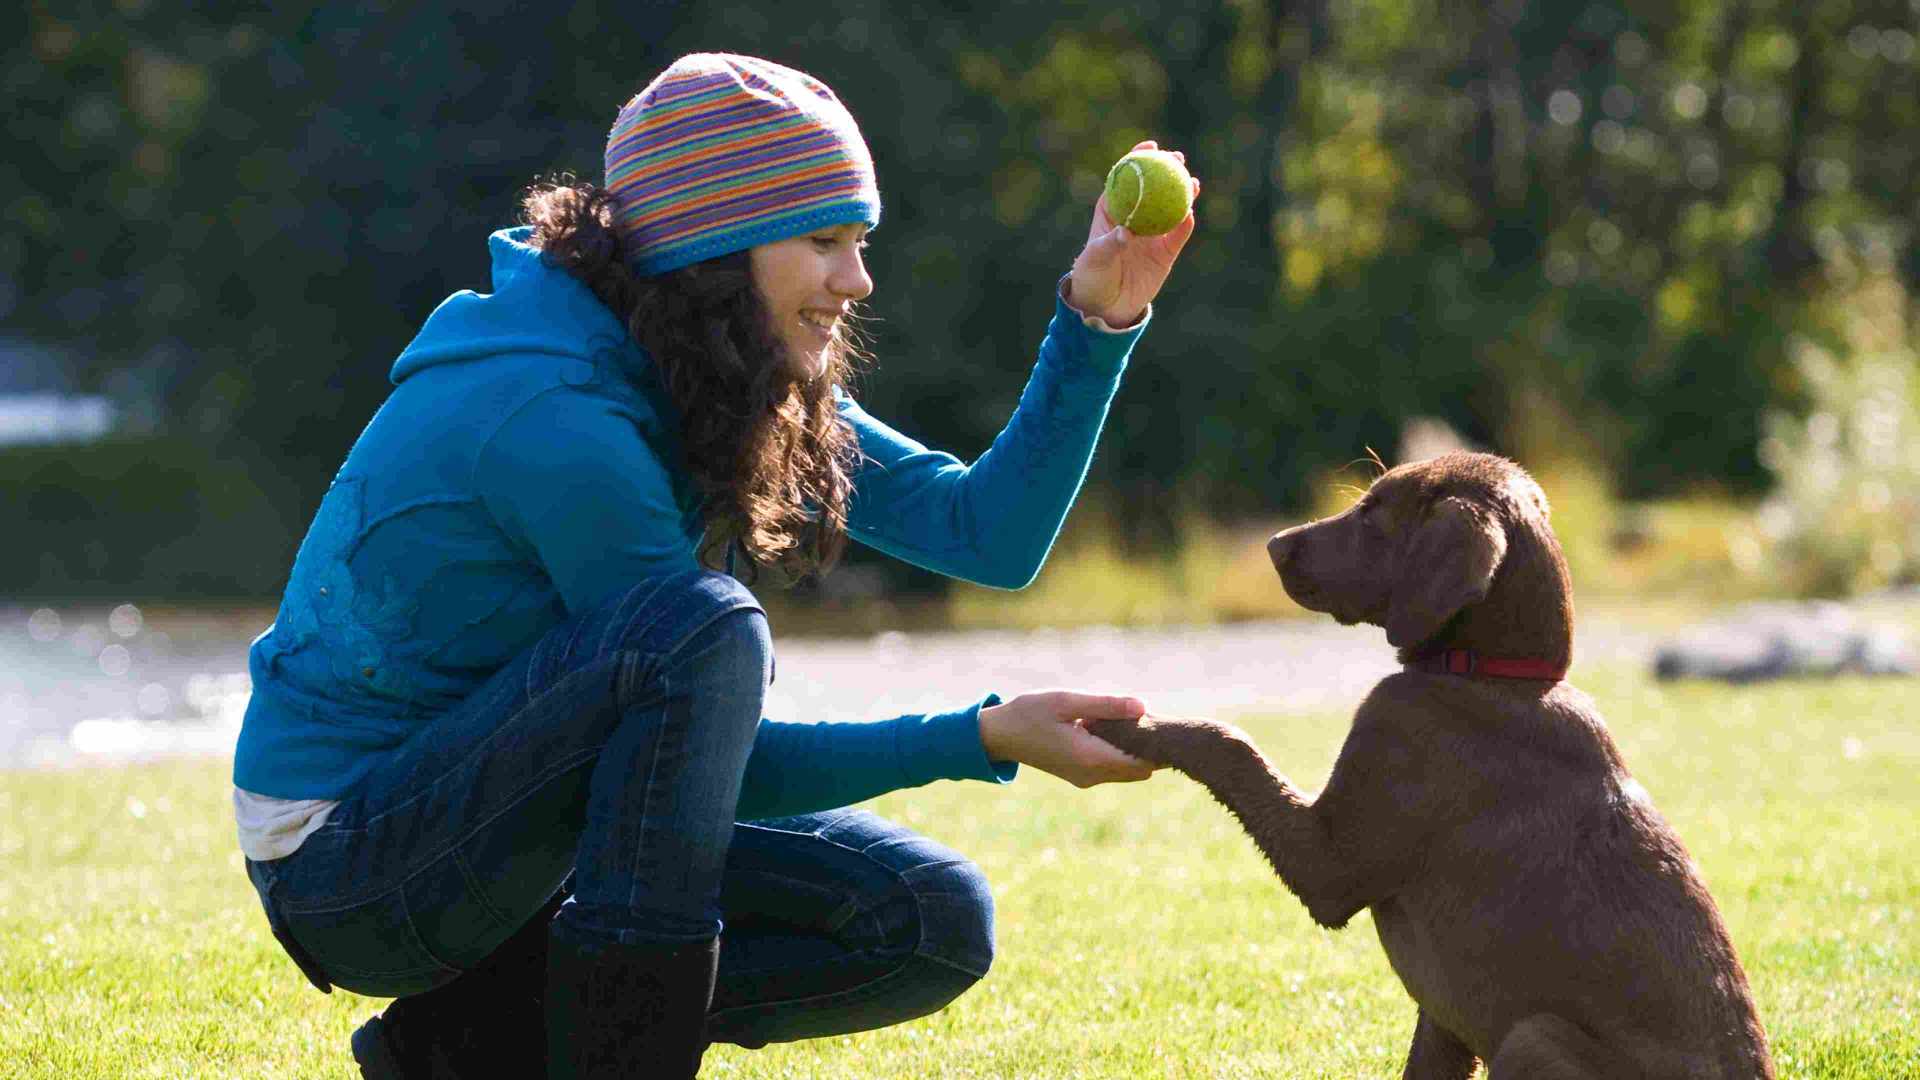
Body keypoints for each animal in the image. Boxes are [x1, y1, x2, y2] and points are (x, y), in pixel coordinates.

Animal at [1090, 451, 1774, 1076]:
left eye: (1373, 513)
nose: (1273, 544)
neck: (1495, 677)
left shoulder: (1330, 865)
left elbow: (1228, 743)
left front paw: (1126, 725)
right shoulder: (1443, 1019)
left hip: (1533, 1037)